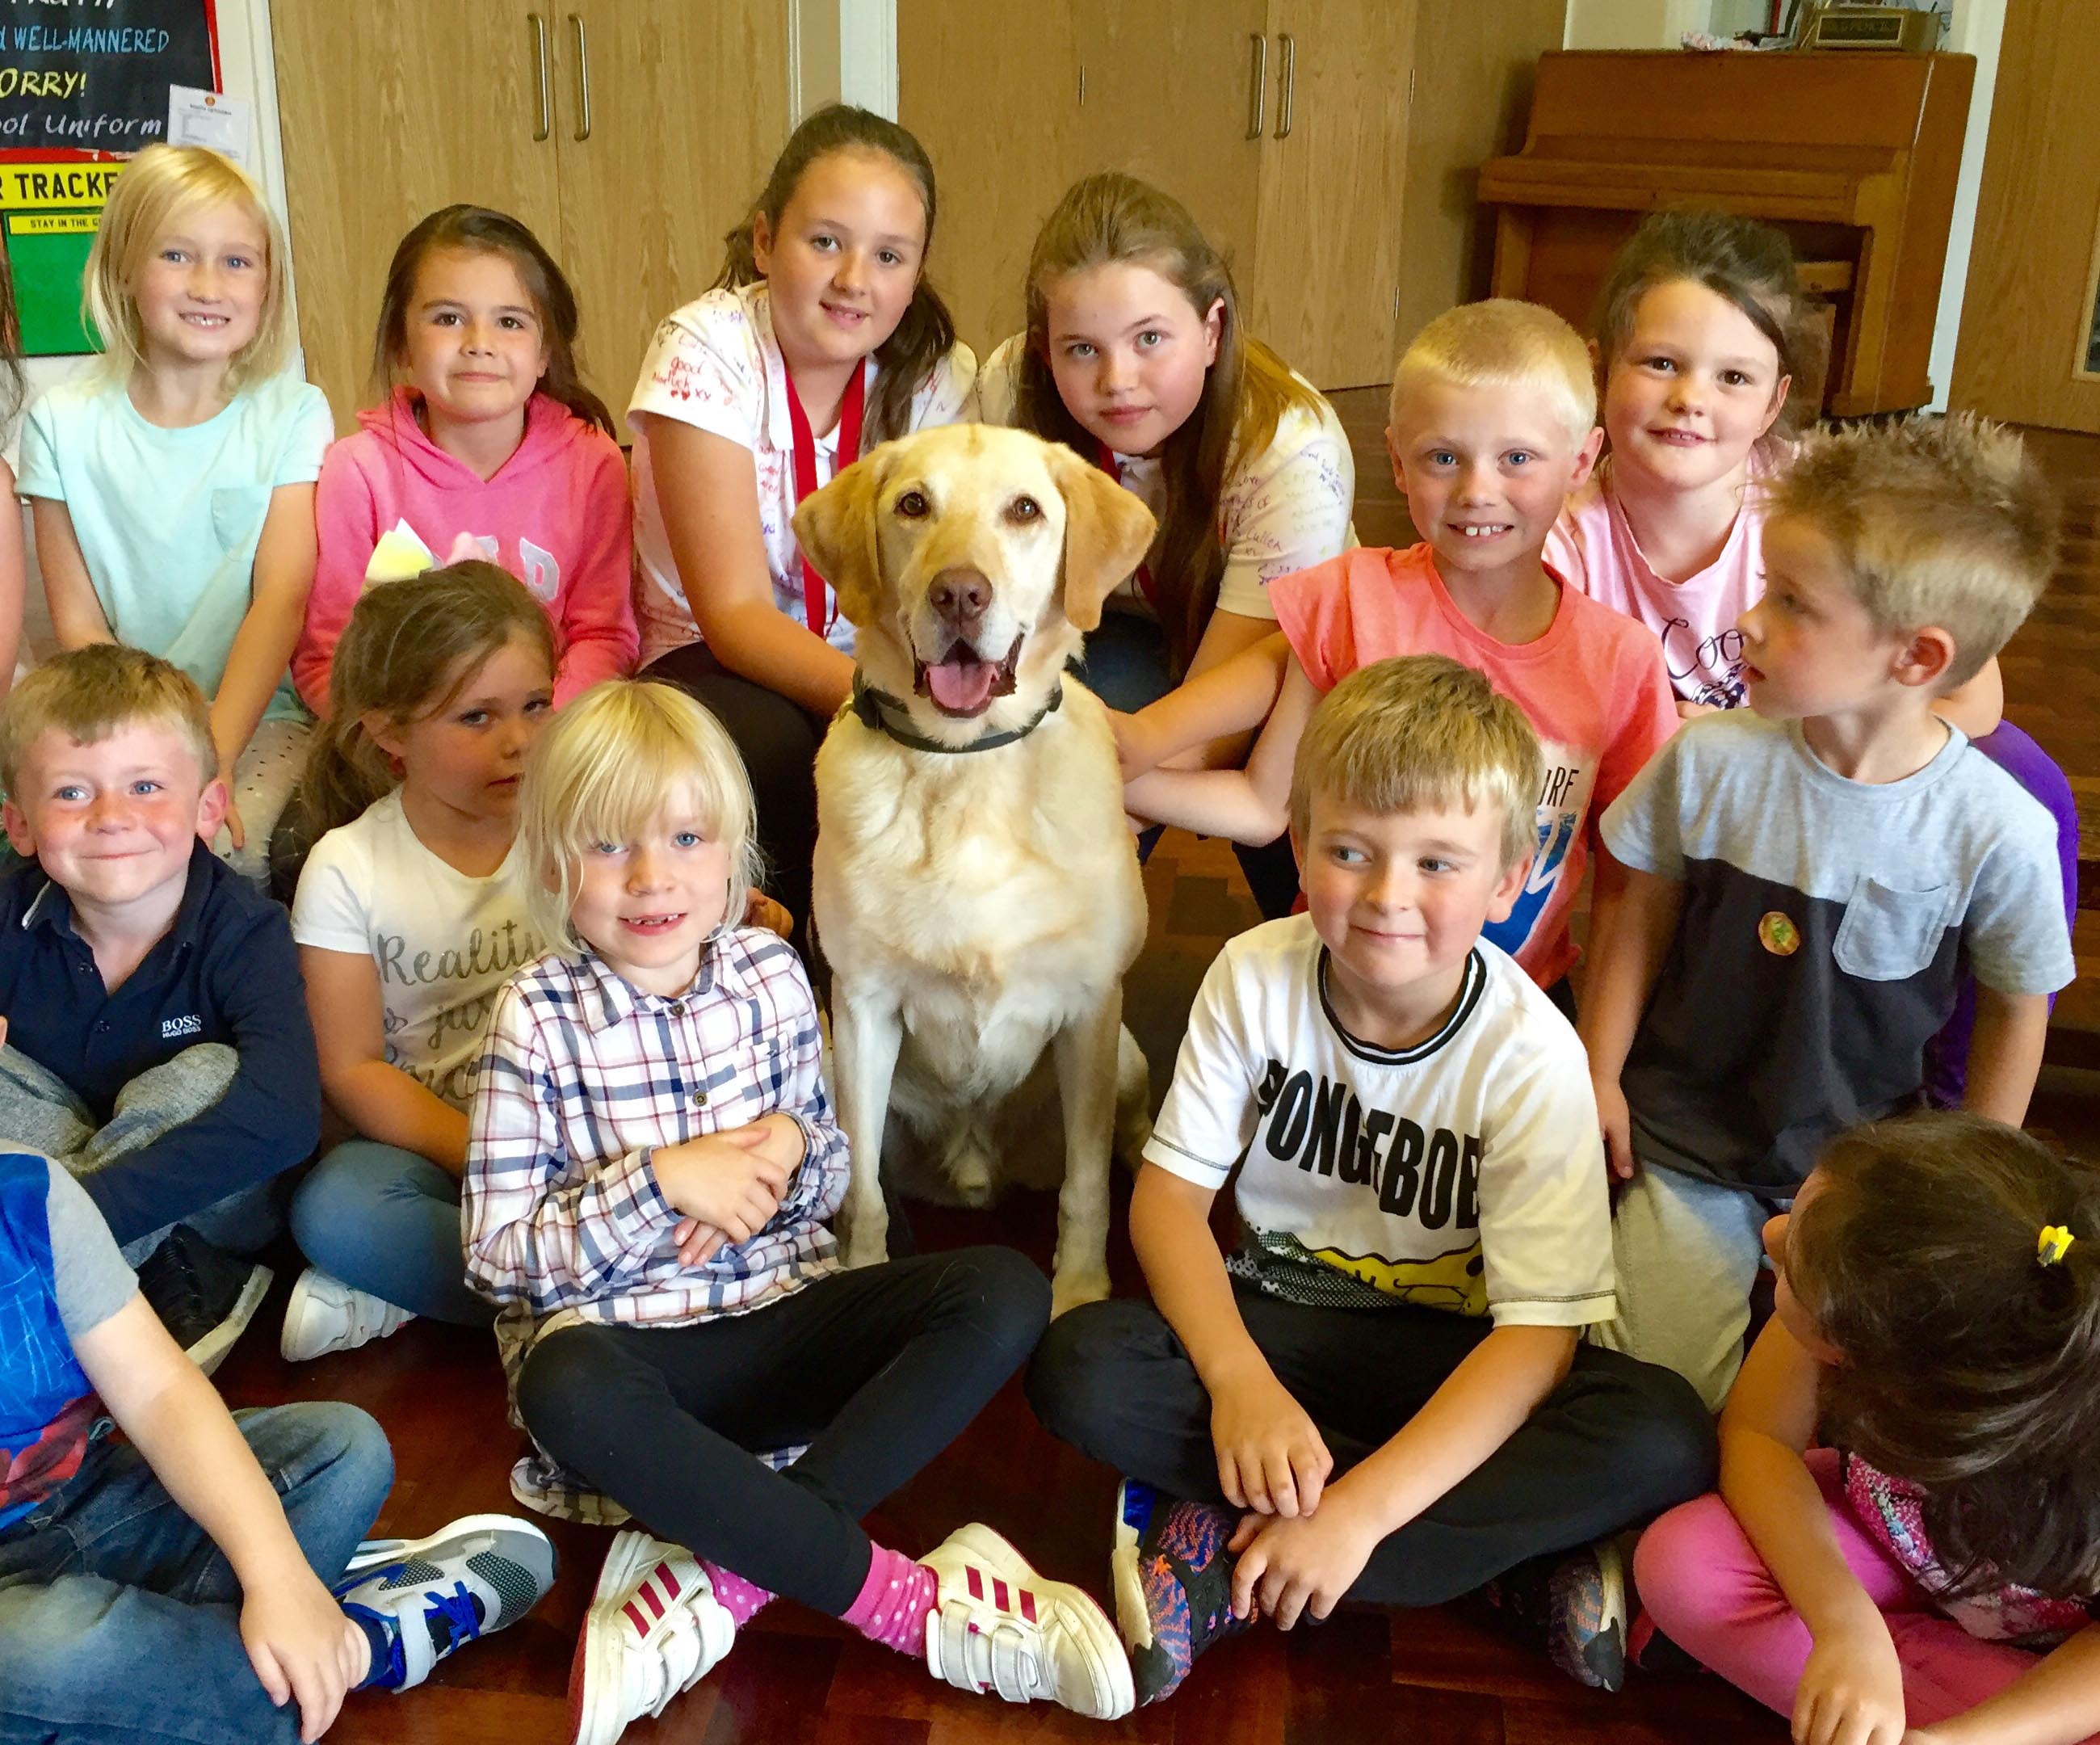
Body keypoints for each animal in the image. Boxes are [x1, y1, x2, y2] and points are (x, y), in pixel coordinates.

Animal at [797, 430, 1159, 1318]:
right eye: (912, 504)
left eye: (1023, 509)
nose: (959, 595)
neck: (964, 768)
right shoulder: (861, 1008)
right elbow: (861, 1189)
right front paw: (862, 1272)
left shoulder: (1089, 1010)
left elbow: (1087, 1187)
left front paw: (1080, 1292)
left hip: (1126, 1054)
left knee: (1130, 1141)